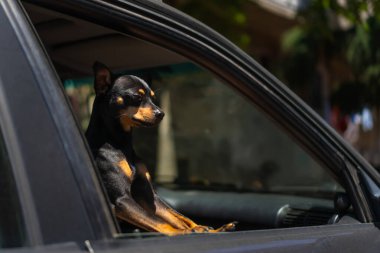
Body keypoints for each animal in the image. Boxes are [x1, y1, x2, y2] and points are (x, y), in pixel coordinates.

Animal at [86, 61, 235, 235]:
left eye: (153, 98)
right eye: (136, 97)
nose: (161, 113)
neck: (120, 143)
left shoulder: (149, 197)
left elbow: (178, 217)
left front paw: (205, 229)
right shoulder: (122, 199)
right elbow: (162, 223)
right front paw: (183, 233)